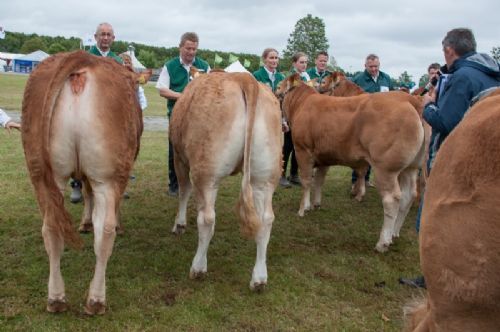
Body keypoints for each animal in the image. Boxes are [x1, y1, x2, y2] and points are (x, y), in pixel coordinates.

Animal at [21, 50, 143, 316]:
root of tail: (82, 58)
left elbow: (86, 193)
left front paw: (84, 222)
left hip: (42, 174)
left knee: (51, 227)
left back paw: (56, 298)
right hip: (109, 175)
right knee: (105, 230)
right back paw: (96, 300)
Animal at [170, 71, 282, 290]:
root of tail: (243, 77)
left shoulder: (179, 158)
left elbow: (183, 190)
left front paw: (179, 224)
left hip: (206, 172)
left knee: (207, 218)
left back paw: (198, 268)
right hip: (265, 177)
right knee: (266, 219)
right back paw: (259, 279)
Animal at [276, 74, 424, 252]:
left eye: (278, 86)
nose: (274, 92)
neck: (302, 104)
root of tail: (409, 99)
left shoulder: (302, 151)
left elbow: (306, 181)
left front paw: (302, 209)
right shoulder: (324, 155)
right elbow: (318, 181)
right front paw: (315, 204)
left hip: (386, 169)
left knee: (392, 199)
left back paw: (382, 242)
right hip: (411, 168)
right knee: (409, 196)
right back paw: (394, 233)